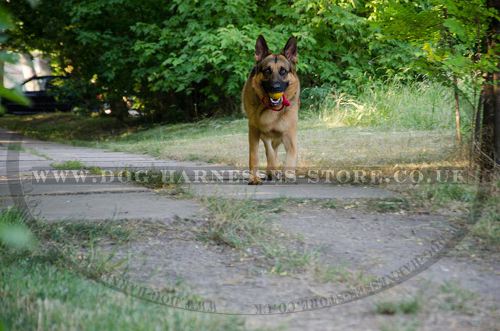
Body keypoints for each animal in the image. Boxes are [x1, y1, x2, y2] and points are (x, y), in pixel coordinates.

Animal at [241, 36, 298, 187]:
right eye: (267, 70)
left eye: (283, 71)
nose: (275, 87)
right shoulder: (254, 130)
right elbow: (254, 155)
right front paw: (254, 178)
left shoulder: (289, 133)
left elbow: (291, 154)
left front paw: (288, 175)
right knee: (269, 149)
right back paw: (271, 170)